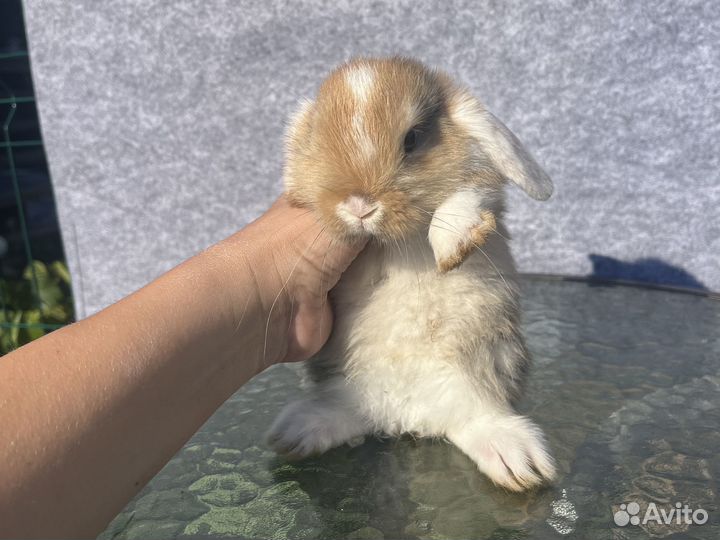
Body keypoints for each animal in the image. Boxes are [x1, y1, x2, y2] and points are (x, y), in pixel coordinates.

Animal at [266, 57, 556, 491]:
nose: (360, 206)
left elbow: (465, 199)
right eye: (316, 139)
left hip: (484, 369)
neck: (395, 242)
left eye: (413, 139)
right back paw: (296, 432)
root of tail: (406, 417)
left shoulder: (481, 191)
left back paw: (518, 462)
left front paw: (452, 248)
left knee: (478, 420)